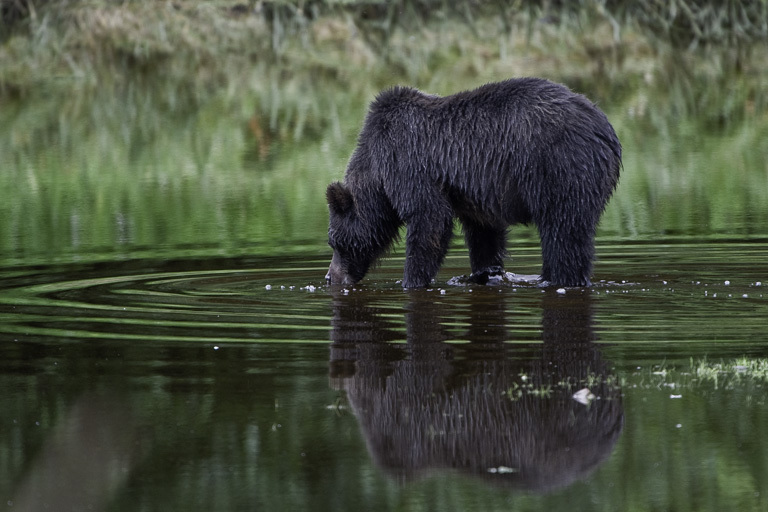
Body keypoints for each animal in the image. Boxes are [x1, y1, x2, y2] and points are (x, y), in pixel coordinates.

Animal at [328, 79, 620, 288]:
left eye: (334, 243)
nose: (330, 277)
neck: (376, 175)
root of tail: (605, 130)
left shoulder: (408, 164)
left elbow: (429, 219)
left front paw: (411, 280)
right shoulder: (471, 194)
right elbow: (484, 237)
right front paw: (485, 273)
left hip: (559, 168)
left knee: (564, 234)